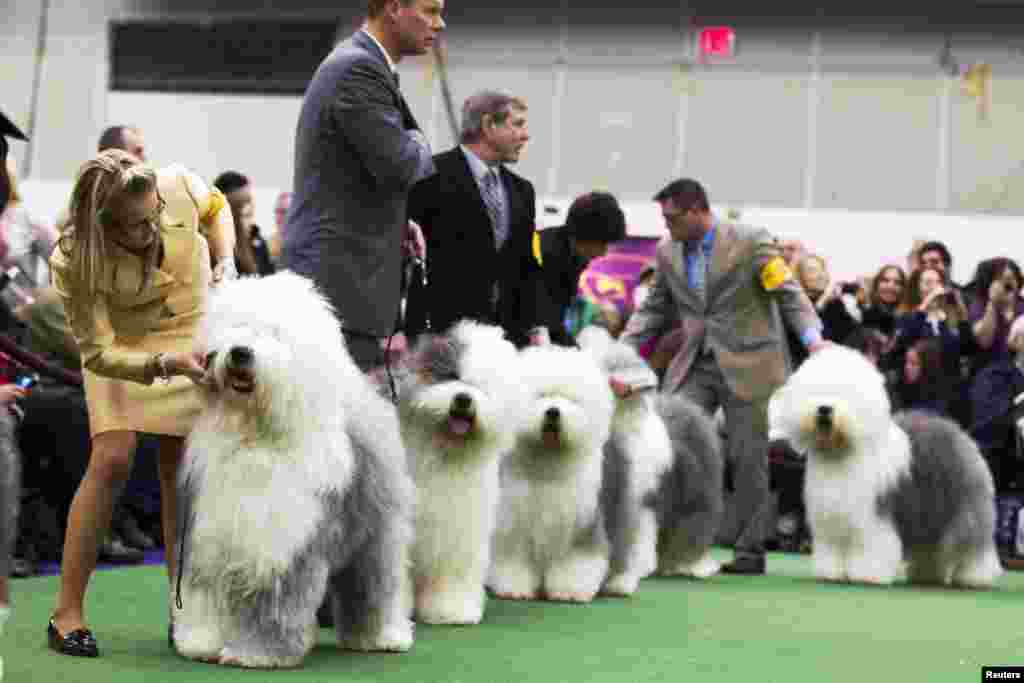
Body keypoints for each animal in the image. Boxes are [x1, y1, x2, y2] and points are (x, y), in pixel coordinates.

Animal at [173, 272, 415, 667]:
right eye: (236, 326)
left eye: (273, 333)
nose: (240, 351)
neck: (255, 436)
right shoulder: (212, 534)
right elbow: (204, 594)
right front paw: (200, 642)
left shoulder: (280, 543)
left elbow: (274, 605)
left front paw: (257, 653)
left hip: (375, 533)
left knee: (375, 585)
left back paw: (382, 636)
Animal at [393, 323, 528, 626]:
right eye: (452, 375)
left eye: (481, 387)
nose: (464, 399)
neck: (444, 455)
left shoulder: (460, 531)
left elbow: (452, 574)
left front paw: (450, 611)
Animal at [489, 344, 610, 602]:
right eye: (541, 395)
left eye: (570, 399)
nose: (553, 412)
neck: (548, 462)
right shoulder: (513, 524)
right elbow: (512, 557)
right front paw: (513, 588)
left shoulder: (578, 526)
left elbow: (574, 561)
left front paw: (570, 591)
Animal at [581, 327, 724, 593]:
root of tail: (691, 408)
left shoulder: (643, 497)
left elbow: (640, 535)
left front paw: (636, 569)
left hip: (695, 494)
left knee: (695, 525)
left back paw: (694, 566)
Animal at [770, 348, 999, 589]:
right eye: (816, 390)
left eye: (845, 393)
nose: (824, 409)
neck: (840, 452)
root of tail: (959, 432)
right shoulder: (831, 519)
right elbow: (832, 547)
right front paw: (830, 573)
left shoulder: (870, 518)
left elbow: (870, 546)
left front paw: (867, 574)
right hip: (928, 512)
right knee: (931, 548)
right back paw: (926, 576)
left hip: (962, 507)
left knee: (972, 545)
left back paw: (974, 577)